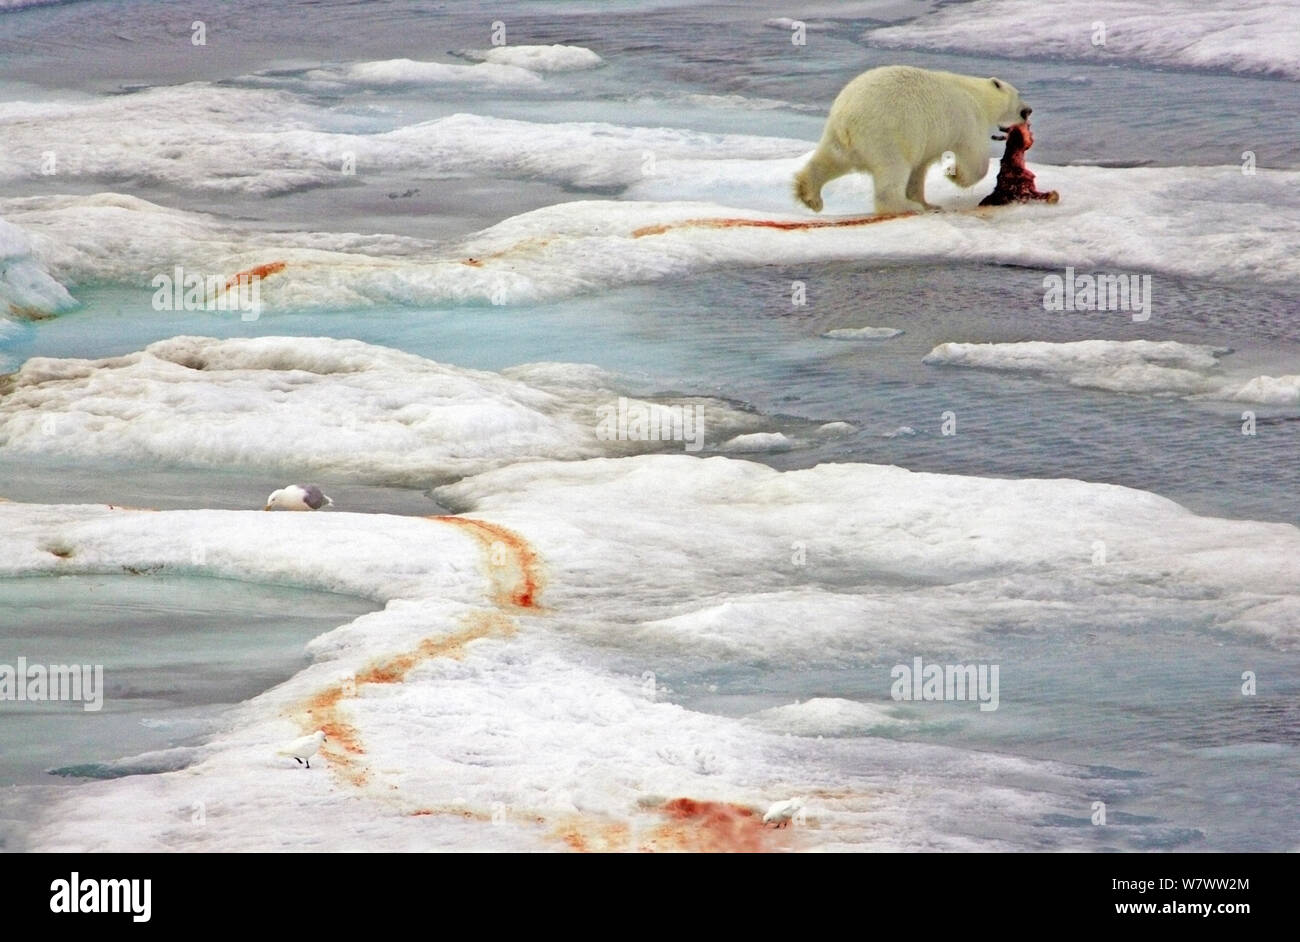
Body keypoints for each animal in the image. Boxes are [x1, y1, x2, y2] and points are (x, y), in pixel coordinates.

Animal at [793, 65, 1032, 215]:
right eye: (1018, 95)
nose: (1028, 111)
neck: (975, 94)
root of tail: (847, 117)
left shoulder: (926, 140)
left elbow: (919, 168)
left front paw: (928, 203)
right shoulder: (967, 120)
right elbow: (974, 157)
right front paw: (953, 174)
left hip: (840, 137)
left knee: (829, 160)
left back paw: (810, 195)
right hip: (887, 135)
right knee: (893, 171)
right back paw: (904, 206)